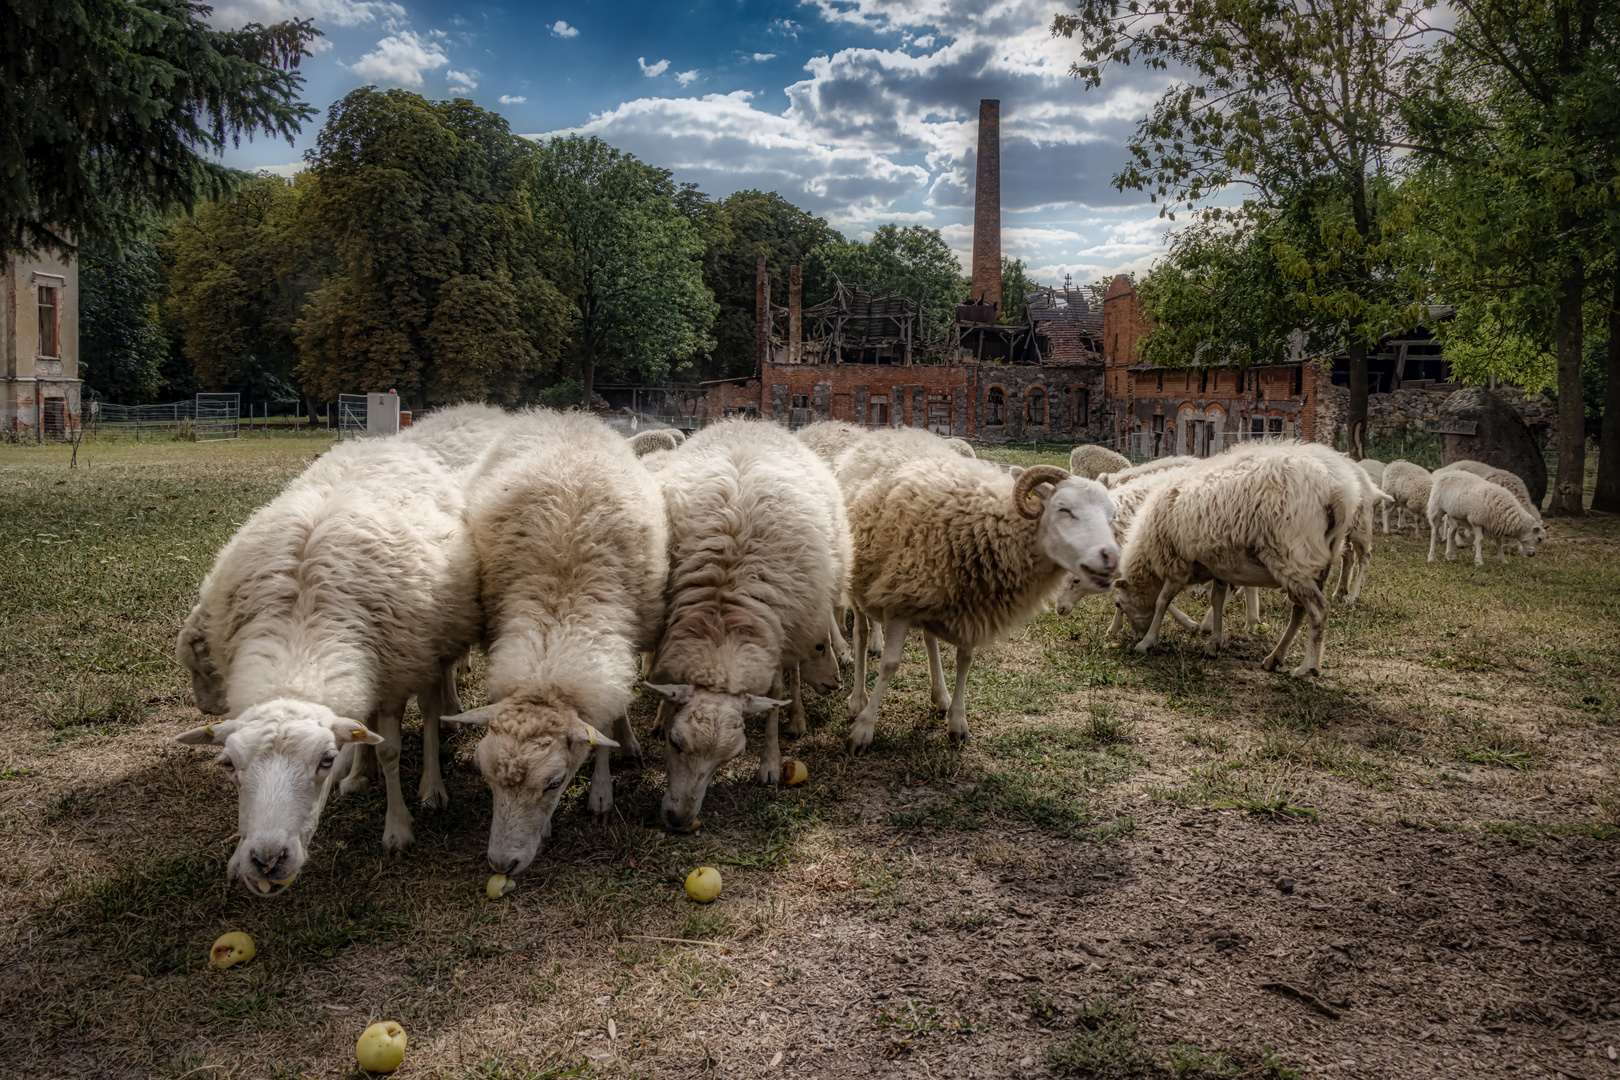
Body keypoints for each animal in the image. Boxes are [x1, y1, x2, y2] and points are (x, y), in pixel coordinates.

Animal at [177, 437, 482, 893]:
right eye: (228, 764)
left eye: (323, 760)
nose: (268, 860)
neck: (298, 651)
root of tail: (378, 441)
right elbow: (365, 732)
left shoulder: (395, 677)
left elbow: (391, 750)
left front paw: (398, 827)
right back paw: (359, 773)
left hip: (431, 649)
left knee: (430, 713)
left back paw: (432, 786)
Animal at [443, 408, 670, 880]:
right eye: (486, 778)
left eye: (554, 783)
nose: (502, 863)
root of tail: (567, 417)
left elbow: (605, 722)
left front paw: (602, 791)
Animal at [641, 417, 855, 835]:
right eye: (675, 742)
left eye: (730, 758)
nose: (679, 819)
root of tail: (747, 421)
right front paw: (660, 713)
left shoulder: (773, 638)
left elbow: (773, 695)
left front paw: (770, 763)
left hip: (798, 615)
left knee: (793, 672)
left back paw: (797, 717)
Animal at [842, 459, 1121, 751]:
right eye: (1063, 508)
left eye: (1112, 516)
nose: (1111, 558)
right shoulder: (899, 602)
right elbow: (890, 665)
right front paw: (863, 729)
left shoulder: (971, 607)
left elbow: (964, 661)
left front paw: (957, 723)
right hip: (858, 585)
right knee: (860, 633)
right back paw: (857, 699)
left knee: (929, 639)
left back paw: (940, 695)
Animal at [1114, 446, 1354, 676]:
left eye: (1119, 604)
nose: (1136, 636)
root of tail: (1336, 494)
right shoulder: (1218, 566)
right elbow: (1217, 600)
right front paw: (1214, 643)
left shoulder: (1177, 563)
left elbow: (1162, 601)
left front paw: (1147, 642)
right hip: (1316, 567)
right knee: (1300, 610)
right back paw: (1275, 658)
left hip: (1292, 557)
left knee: (1319, 610)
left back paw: (1308, 667)